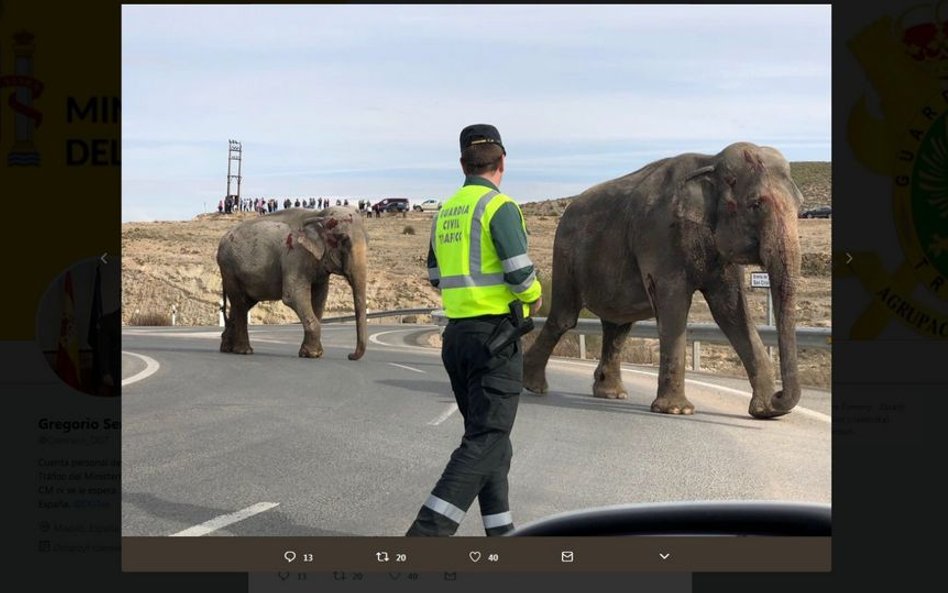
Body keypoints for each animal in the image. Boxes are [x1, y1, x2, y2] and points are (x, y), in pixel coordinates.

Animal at [219, 206, 370, 358]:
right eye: (344, 240)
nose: (350, 356)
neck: (318, 214)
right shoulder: (295, 255)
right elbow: (293, 296)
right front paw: (312, 354)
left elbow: (320, 298)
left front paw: (312, 353)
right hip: (229, 268)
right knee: (240, 302)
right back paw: (244, 351)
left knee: (244, 303)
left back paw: (227, 348)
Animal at [524, 142, 804, 418]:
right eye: (756, 204)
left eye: (800, 205)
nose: (779, 396)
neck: (711, 161)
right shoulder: (659, 235)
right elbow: (674, 305)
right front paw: (677, 410)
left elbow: (731, 312)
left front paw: (765, 411)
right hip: (565, 254)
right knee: (565, 318)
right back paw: (533, 386)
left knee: (618, 326)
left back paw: (611, 393)